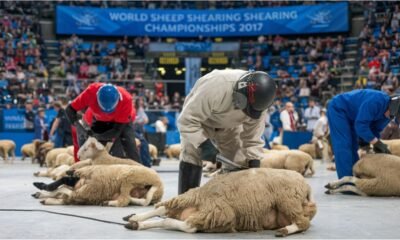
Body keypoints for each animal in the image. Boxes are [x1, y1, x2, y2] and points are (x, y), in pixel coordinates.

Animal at [32, 164, 163, 207]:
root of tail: (159, 185)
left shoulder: (86, 190)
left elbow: (62, 188)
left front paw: (43, 190)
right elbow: (61, 189)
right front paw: (42, 192)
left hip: (128, 180)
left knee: (124, 200)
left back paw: (109, 203)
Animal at [123, 168, 318, 237]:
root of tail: (307, 188)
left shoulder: (219, 216)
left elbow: (180, 224)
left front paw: (137, 222)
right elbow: (163, 211)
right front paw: (135, 220)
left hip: (288, 201)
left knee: (303, 223)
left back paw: (285, 231)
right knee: (164, 208)